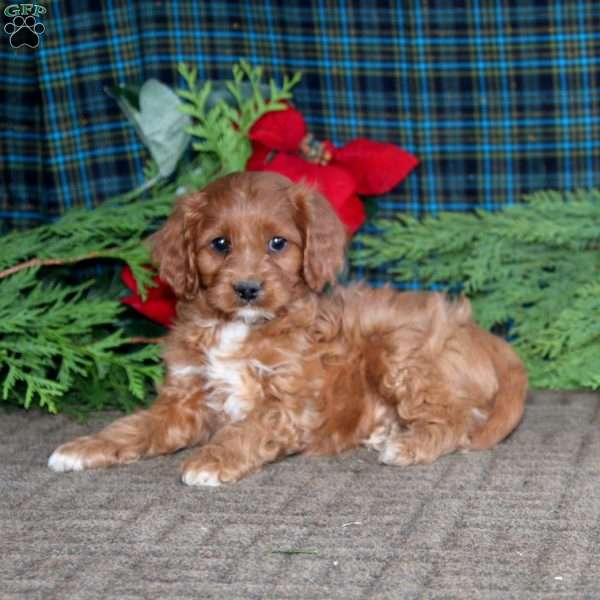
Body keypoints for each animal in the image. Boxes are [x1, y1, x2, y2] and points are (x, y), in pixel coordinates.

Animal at [48, 171, 524, 486]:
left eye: (278, 243)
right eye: (220, 244)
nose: (247, 289)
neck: (240, 327)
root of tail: (484, 335)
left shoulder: (291, 403)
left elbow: (248, 427)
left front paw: (211, 460)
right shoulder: (184, 399)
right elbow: (134, 426)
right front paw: (82, 448)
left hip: (400, 350)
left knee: (459, 419)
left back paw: (407, 444)